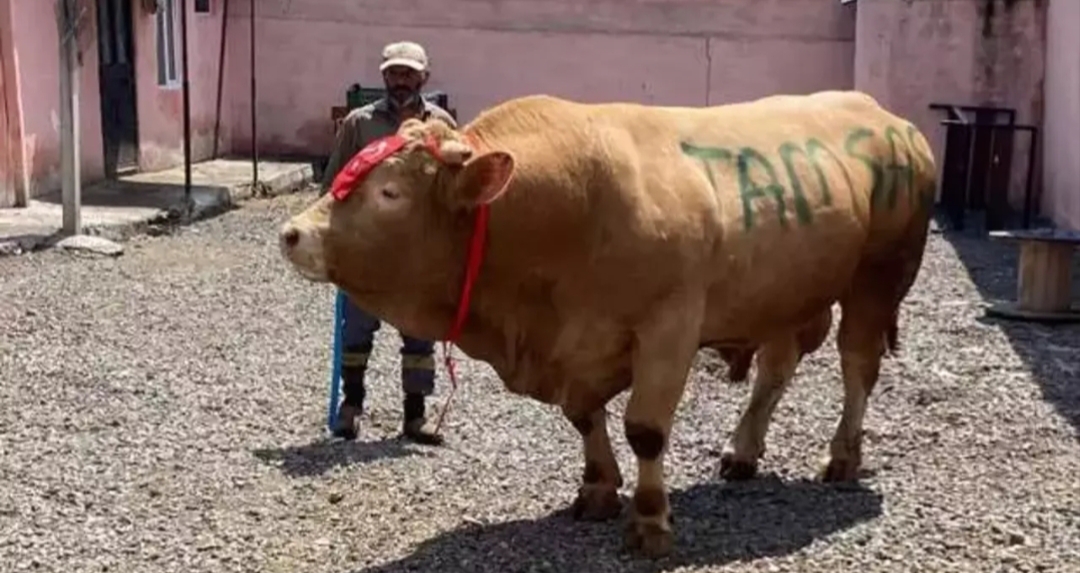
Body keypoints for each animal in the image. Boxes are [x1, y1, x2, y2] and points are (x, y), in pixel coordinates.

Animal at [278, 91, 937, 556]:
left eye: (389, 193)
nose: (292, 234)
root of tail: (888, 118)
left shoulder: (669, 326)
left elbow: (644, 429)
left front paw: (649, 521)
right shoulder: (576, 347)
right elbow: (584, 417)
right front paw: (597, 489)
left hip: (878, 277)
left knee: (858, 366)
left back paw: (842, 457)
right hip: (779, 291)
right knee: (776, 368)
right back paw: (743, 452)